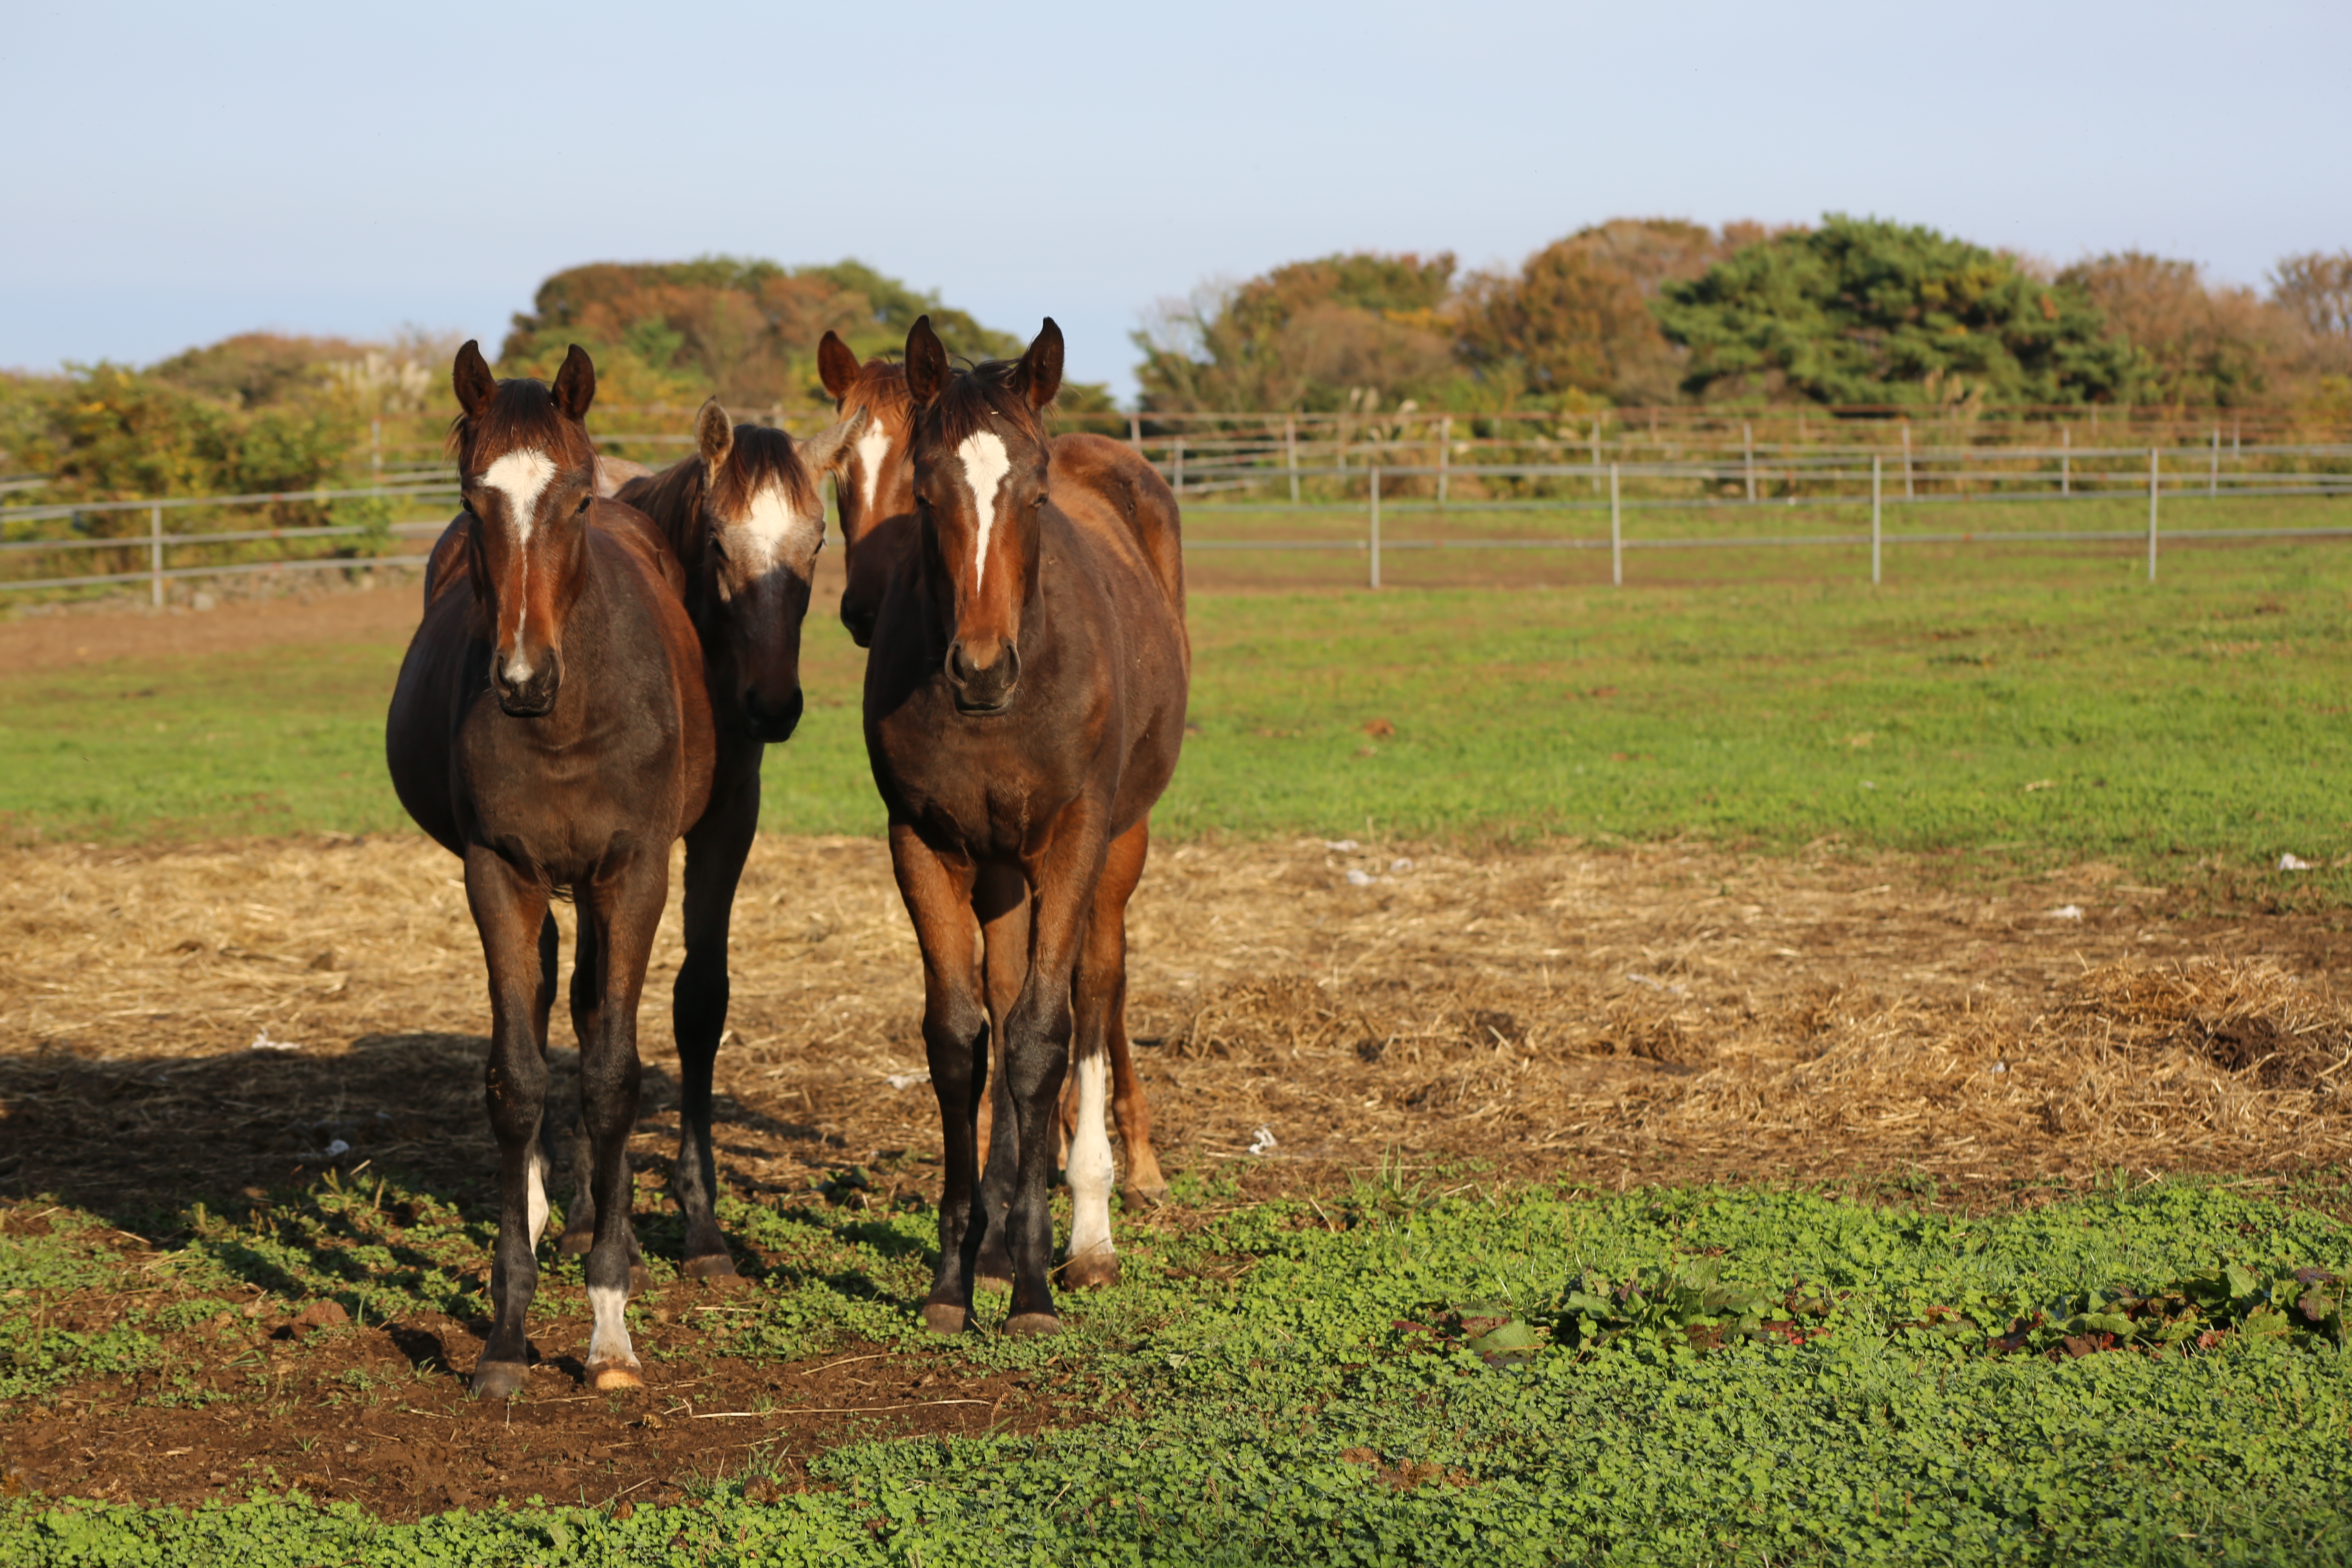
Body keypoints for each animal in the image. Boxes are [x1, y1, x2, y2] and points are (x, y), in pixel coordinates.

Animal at [381, 343, 715, 1401]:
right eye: (471, 496)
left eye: (573, 500)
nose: (521, 679)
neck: (567, 721)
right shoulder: (498, 874)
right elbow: (515, 1077)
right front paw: (505, 1332)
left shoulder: (634, 873)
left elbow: (611, 1073)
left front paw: (609, 1326)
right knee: (538, 1006)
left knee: (589, 1008)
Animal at [557, 390, 865, 1278]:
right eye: (721, 541)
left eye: (818, 541)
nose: (774, 705)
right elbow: (605, 1011)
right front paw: (599, 1214)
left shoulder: (731, 821)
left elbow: (700, 1001)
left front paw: (700, 1225)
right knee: (586, 1002)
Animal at [865, 319, 1195, 1335]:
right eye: (926, 491)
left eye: (1036, 494)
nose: (979, 668)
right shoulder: (923, 844)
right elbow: (961, 1036)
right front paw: (957, 1276)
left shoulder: (1075, 840)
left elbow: (1048, 1032)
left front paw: (1038, 1287)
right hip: (1004, 869)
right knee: (1008, 997)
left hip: (1118, 845)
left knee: (1094, 989)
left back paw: (1089, 1231)